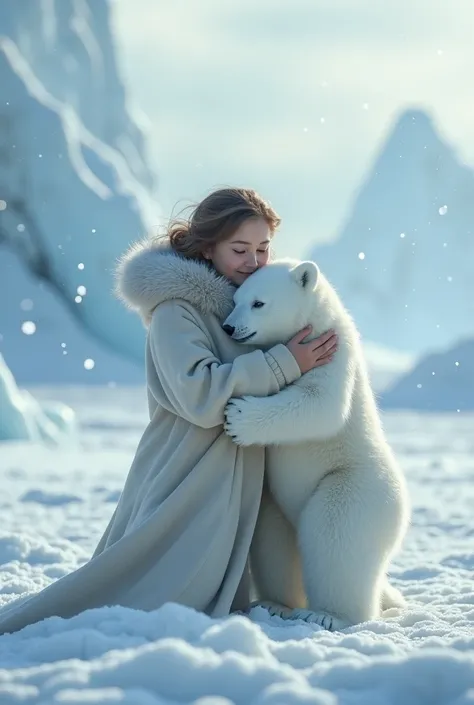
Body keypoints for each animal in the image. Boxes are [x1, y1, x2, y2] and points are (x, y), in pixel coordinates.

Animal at [223, 260, 412, 632]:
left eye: (258, 303)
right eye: (236, 299)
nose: (229, 327)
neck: (314, 323)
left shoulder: (334, 353)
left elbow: (320, 405)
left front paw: (238, 416)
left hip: (353, 486)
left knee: (334, 536)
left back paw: (327, 614)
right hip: (275, 501)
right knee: (272, 542)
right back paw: (274, 604)